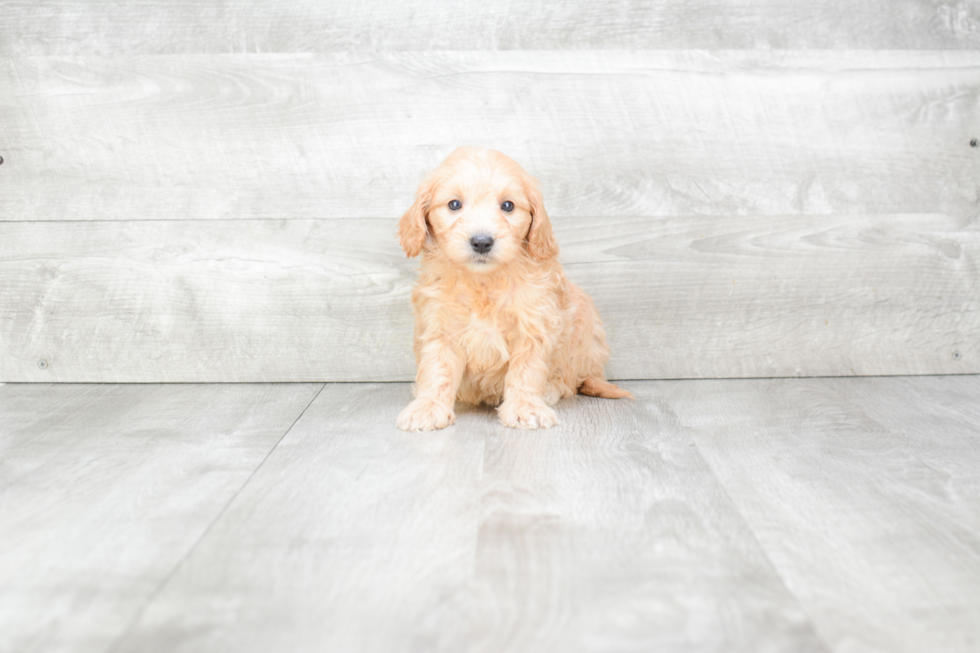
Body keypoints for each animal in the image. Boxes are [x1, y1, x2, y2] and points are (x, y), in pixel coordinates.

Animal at [394, 148, 632, 432]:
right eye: (454, 205)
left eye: (507, 206)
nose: (482, 242)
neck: (483, 281)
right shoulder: (440, 325)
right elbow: (437, 368)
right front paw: (427, 408)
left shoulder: (534, 322)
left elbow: (525, 369)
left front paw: (525, 408)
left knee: (570, 381)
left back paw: (551, 389)